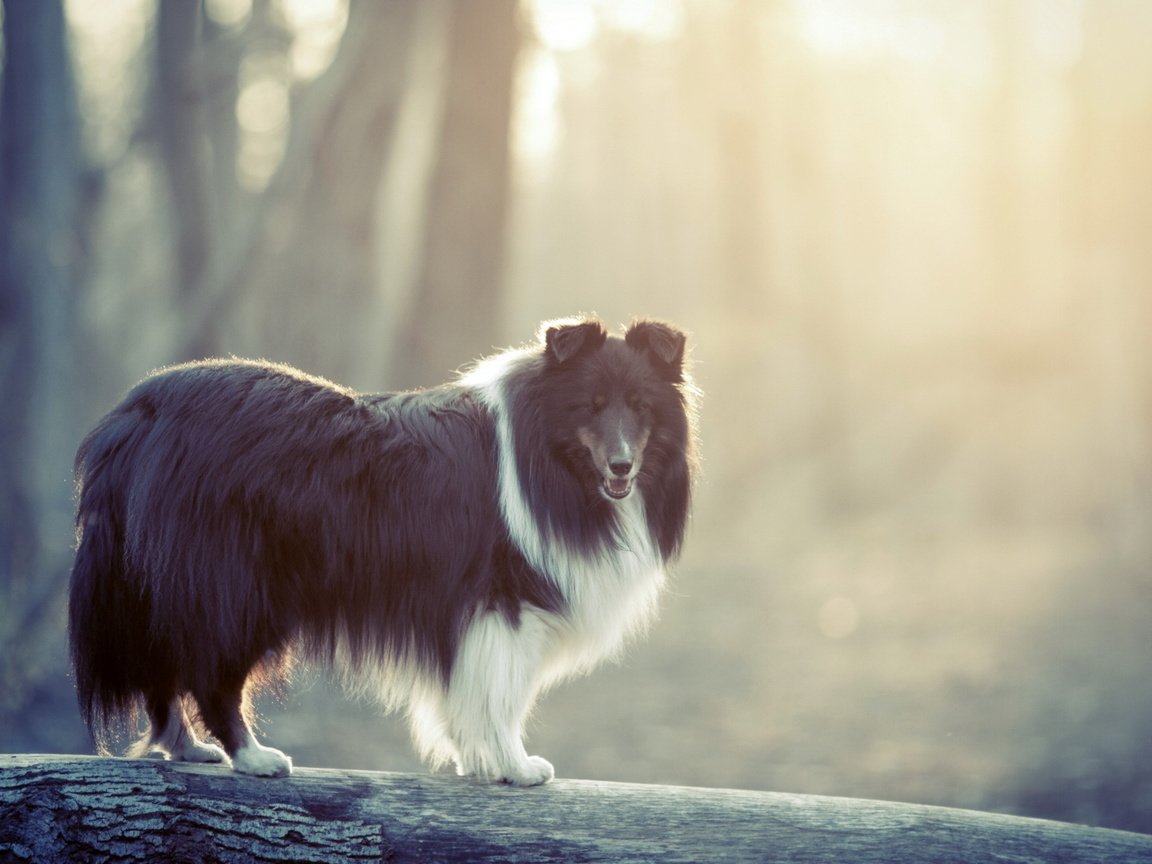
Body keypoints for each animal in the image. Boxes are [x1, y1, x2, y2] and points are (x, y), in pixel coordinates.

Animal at [74, 315, 700, 783]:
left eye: (641, 405)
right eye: (590, 405)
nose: (621, 466)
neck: (545, 452)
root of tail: (142, 408)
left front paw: (478, 759)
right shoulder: (504, 602)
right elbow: (501, 693)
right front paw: (513, 765)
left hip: (157, 587)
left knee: (162, 670)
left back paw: (186, 748)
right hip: (238, 586)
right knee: (210, 673)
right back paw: (252, 756)